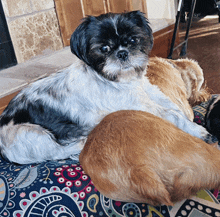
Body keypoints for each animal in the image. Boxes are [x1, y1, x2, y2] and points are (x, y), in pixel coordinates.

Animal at [0, 9, 210, 163]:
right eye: (104, 48)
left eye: (133, 39)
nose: (122, 53)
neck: (121, 81)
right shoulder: (142, 107)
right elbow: (173, 116)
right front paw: (197, 131)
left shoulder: (149, 91)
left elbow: (173, 105)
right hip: (30, 135)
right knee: (57, 152)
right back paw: (80, 142)